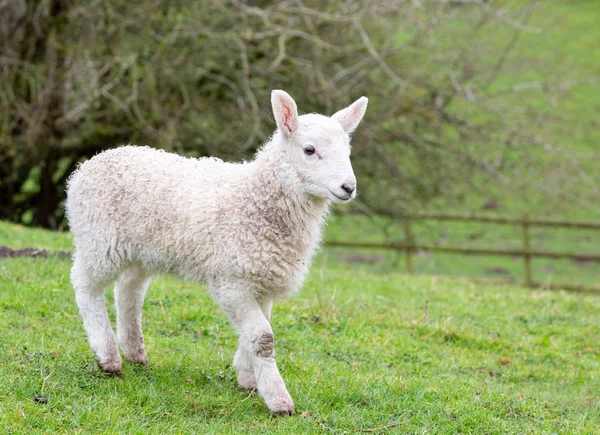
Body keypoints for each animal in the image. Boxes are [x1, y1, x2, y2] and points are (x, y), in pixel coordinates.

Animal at [64, 88, 366, 416]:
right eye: (309, 150)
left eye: (348, 150)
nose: (348, 187)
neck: (255, 198)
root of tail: (92, 162)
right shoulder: (231, 280)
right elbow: (263, 337)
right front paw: (277, 399)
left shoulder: (261, 278)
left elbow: (259, 330)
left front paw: (248, 377)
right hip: (99, 240)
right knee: (85, 285)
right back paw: (107, 355)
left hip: (141, 248)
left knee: (129, 290)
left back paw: (134, 351)